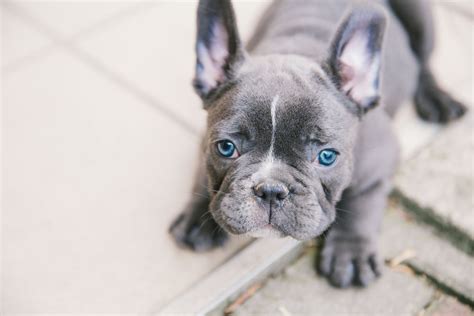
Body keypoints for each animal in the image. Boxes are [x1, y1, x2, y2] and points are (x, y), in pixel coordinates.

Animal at [169, 0, 466, 288]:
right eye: (226, 148)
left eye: (326, 156)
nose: (271, 190)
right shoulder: (205, 139)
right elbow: (204, 177)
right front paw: (198, 219)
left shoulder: (381, 157)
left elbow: (361, 200)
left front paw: (351, 251)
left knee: (423, 60)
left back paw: (437, 98)